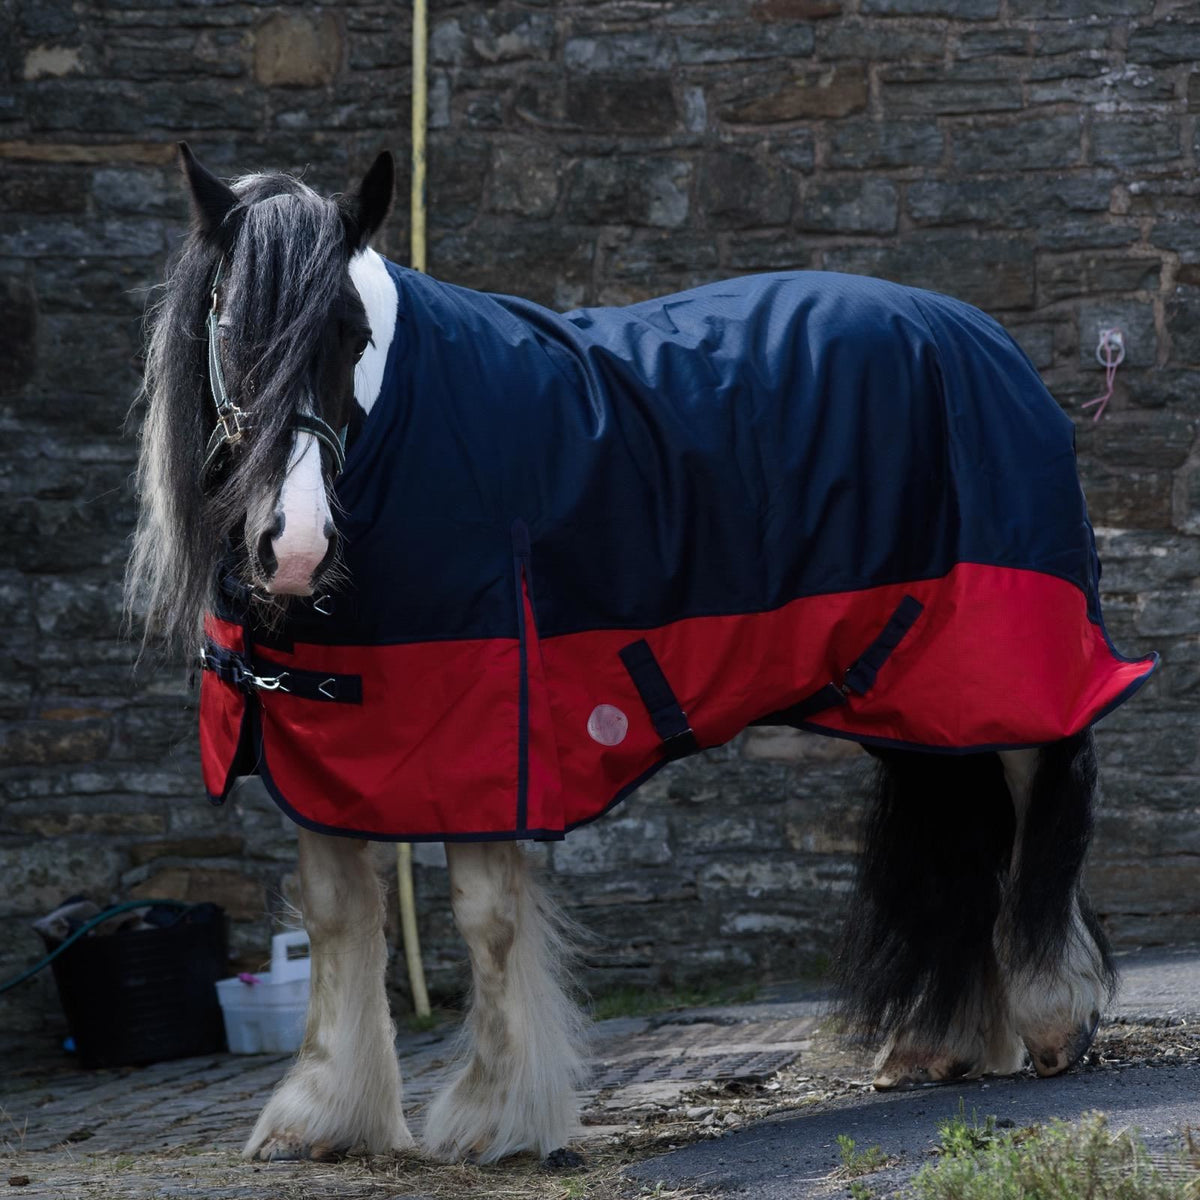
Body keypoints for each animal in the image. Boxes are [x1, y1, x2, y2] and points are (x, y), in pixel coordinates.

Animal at [126, 144, 1156, 1164]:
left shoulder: (494, 733)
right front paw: (323, 1117)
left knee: (1035, 789)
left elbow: (487, 919)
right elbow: (339, 913)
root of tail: (984, 337)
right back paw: (943, 1045)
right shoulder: (322, 739)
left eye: (351, 336)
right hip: (909, 694)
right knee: (964, 818)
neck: (401, 432)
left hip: (999, 658)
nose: (295, 546)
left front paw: (498, 1117)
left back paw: (1054, 1019)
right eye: (229, 332)